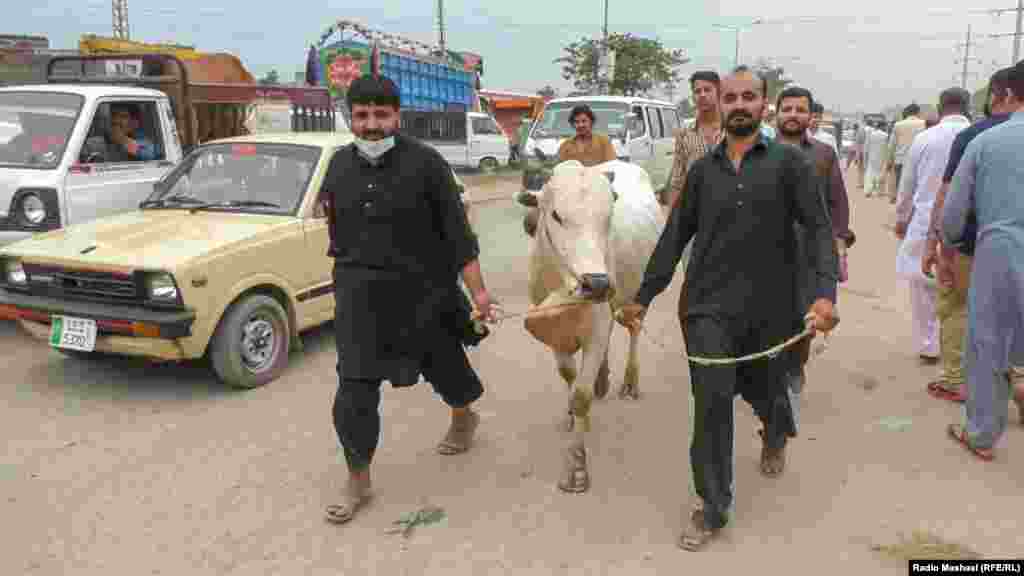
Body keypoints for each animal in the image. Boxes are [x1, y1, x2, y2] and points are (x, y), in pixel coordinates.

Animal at [528, 158, 663, 491]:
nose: (597, 284)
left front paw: (577, 465)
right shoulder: (555, 333)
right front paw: (572, 416)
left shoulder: (598, 325)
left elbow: (581, 395)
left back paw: (629, 381)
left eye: (608, 217)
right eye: (556, 215)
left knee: (634, 329)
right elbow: (569, 376)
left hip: (637, 299)